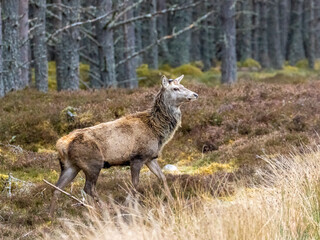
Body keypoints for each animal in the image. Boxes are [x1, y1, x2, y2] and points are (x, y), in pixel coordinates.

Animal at [49, 75, 198, 216]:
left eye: (182, 85)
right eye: (175, 88)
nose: (195, 94)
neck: (157, 131)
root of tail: (62, 145)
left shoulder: (150, 158)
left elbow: (162, 178)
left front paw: (172, 201)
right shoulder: (137, 157)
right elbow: (135, 184)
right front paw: (127, 205)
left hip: (70, 166)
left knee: (57, 188)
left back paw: (53, 213)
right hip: (93, 163)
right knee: (88, 188)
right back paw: (105, 208)